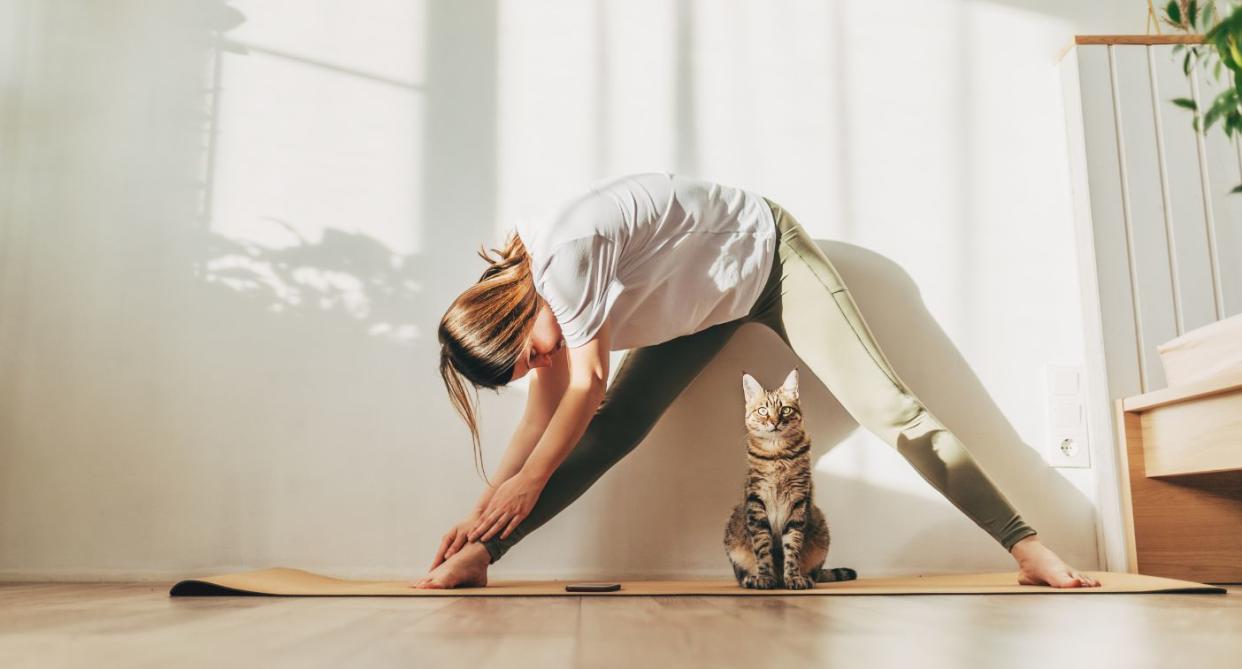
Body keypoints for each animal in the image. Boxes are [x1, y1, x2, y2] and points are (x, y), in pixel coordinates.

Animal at [725, 369, 859, 588]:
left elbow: (792, 546)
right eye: (763, 410)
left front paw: (794, 577)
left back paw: (803, 578)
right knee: (741, 573)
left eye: (785, 410)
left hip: (821, 529)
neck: (777, 453)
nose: (774, 421)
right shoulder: (756, 501)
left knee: (815, 572)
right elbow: (762, 546)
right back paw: (751, 579)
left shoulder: (798, 501)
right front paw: (764, 577)